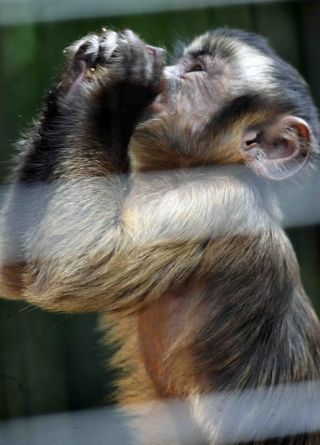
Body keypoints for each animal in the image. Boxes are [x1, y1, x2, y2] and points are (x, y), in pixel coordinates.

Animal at [0, 28, 320, 444]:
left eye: (195, 70)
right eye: (182, 62)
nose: (166, 72)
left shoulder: (224, 204)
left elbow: (76, 267)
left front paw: (116, 94)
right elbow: (15, 270)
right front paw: (79, 80)